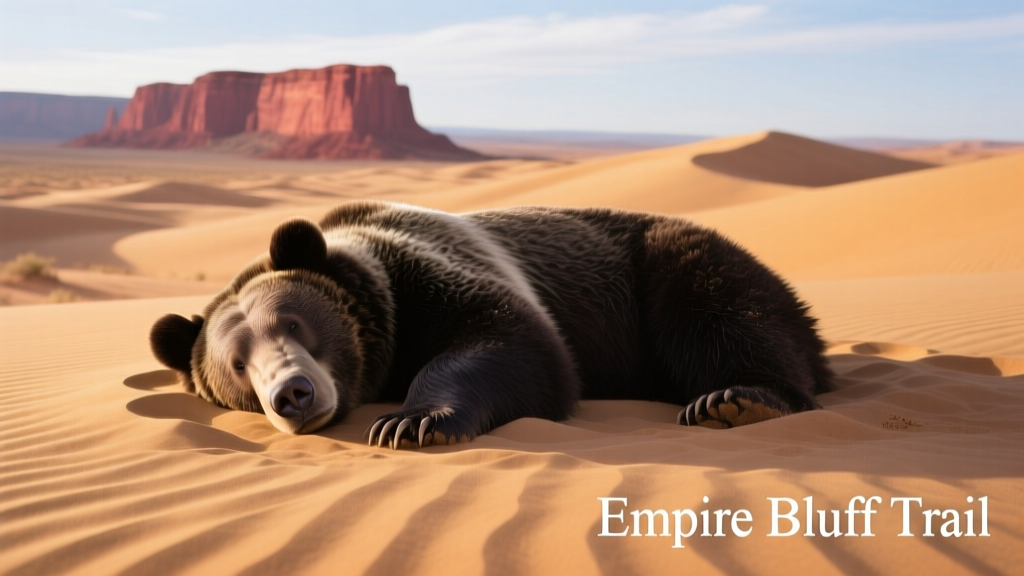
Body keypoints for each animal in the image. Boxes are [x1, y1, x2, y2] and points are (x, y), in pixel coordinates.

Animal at [150, 201, 832, 449]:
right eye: (238, 365)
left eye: (292, 324)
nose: (292, 394)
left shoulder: (432, 275)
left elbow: (512, 340)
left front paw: (411, 421)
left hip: (670, 266)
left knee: (722, 313)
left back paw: (736, 400)